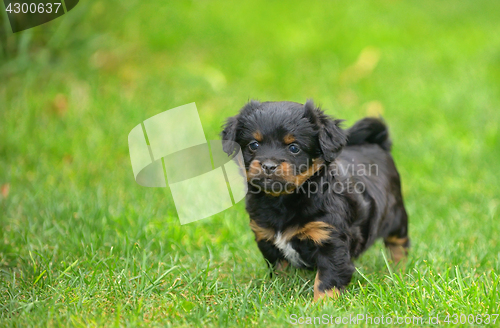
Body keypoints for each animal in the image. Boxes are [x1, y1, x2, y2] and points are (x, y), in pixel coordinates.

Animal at [221, 100, 408, 302]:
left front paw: (322, 304)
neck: (284, 200)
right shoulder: (267, 239)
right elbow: (279, 270)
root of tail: (377, 143)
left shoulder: (330, 240)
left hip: (396, 215)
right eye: (253, 145)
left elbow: (327, 279)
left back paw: (398, 271)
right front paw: (278, 290)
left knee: (399, 244)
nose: (269, 166)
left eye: (294, 148)